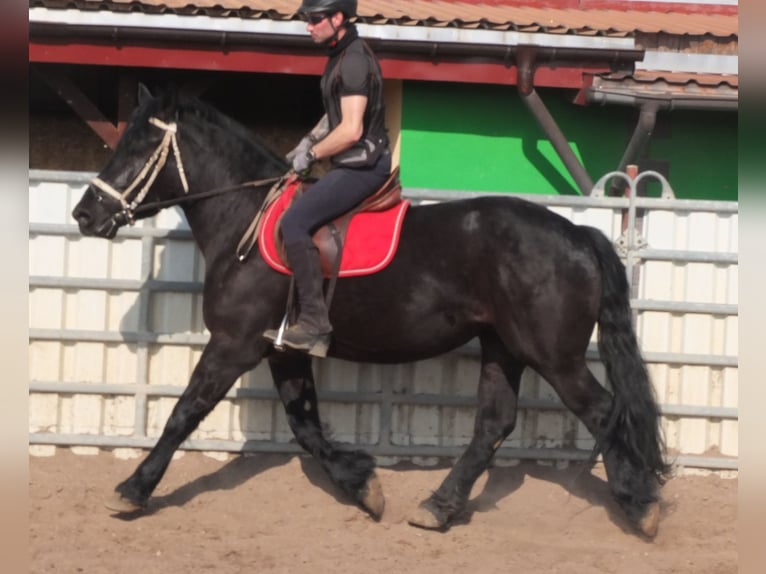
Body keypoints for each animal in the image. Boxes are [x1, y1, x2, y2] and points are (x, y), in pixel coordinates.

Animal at [73, 86, 672, 540]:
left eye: (139, 146)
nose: (84, 215)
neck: (247, 217)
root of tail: (579, 234)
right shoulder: (282, 348)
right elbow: (306, 426)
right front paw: (363, 486)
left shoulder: (235, 344)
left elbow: (185, 412)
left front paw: (133, 490)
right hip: (503, 347)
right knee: (495, 424)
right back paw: (438, 507)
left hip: (552, 355)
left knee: (603, 410)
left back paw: (639, 503)